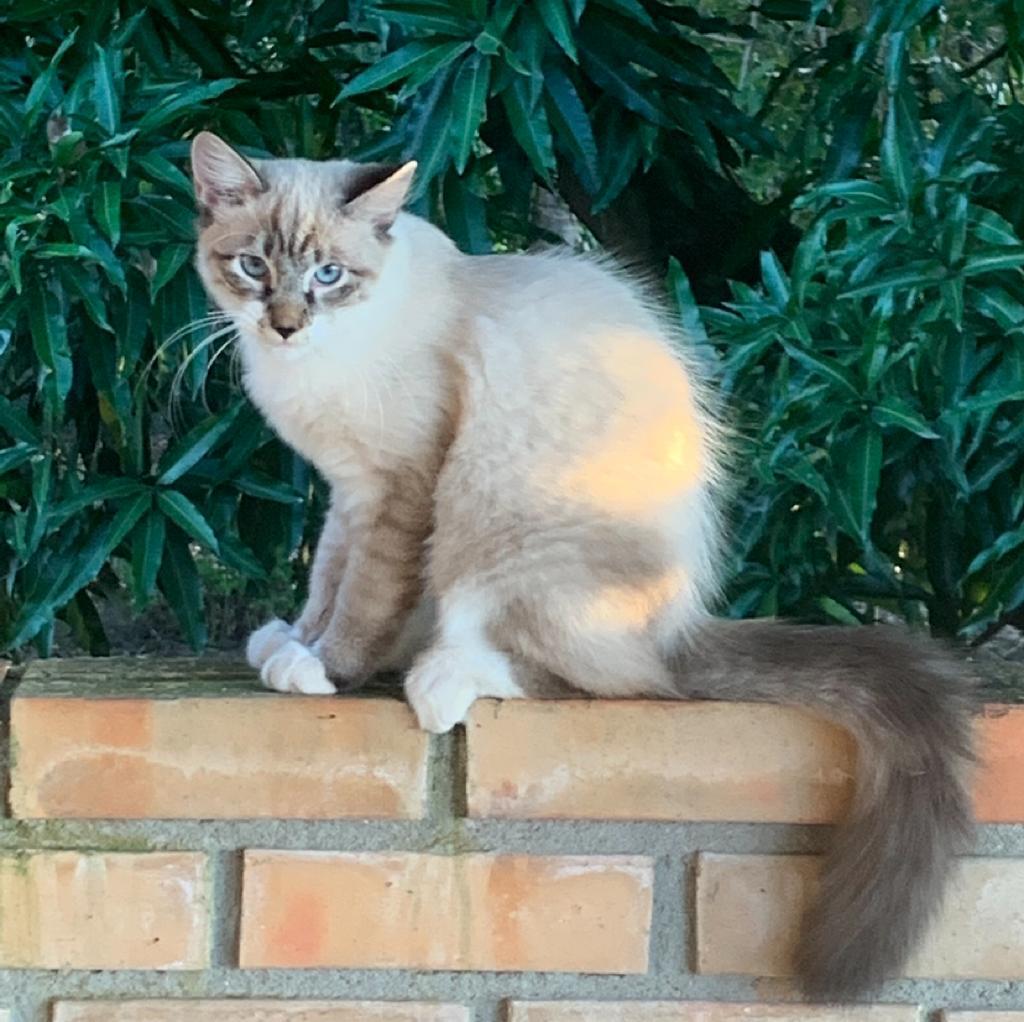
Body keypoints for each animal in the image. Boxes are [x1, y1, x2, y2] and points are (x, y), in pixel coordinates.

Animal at [190, 131, 974, 1000]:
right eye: (253, 266)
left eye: (328, 275)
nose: (286, 324)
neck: (316, 367)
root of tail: (680, 628)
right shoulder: (349, 490)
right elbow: (327, 577)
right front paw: (292, 644)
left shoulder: (397, 486)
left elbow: (362, 596)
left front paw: (325, 670)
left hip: (497, 530)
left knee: (601, 680)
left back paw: (441, 679)